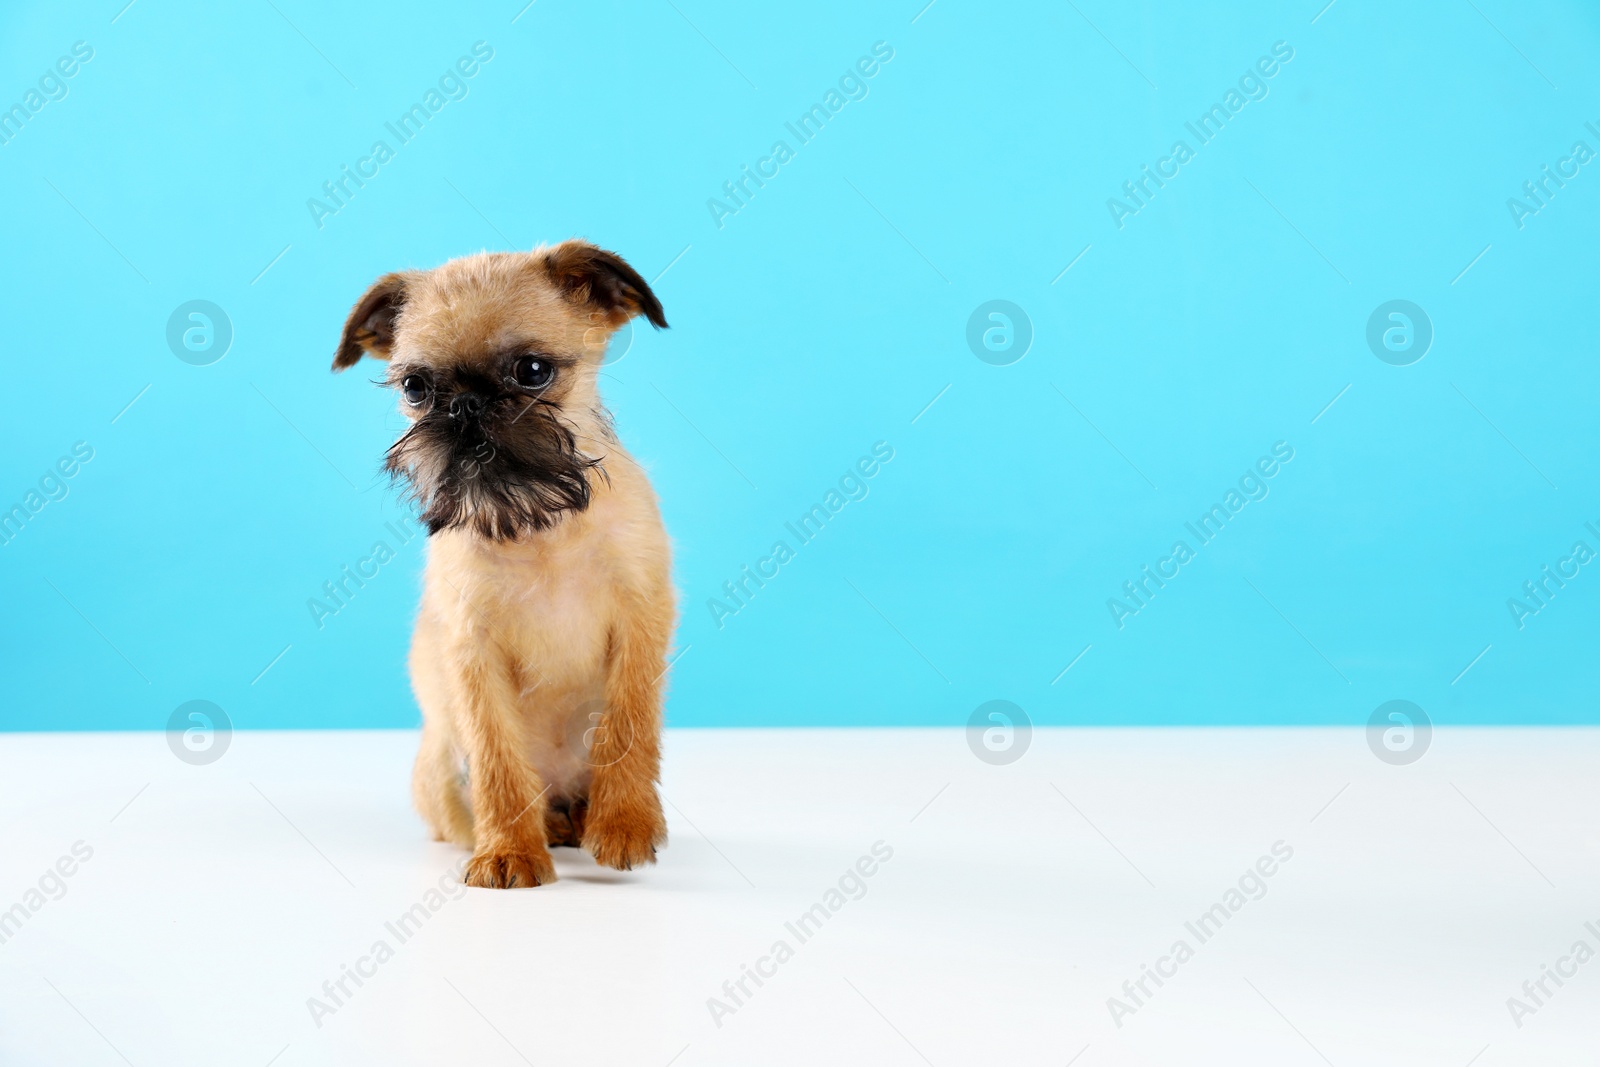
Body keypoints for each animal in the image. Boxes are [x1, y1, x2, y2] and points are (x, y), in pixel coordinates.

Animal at [331, 239, 675, 883]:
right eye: (416, 387)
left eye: (532, 372)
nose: (466, 405)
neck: (540, 525)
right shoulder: (472, 650)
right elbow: (497, 758)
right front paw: (509, 851)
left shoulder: (642, 620)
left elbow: (628, 727)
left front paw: (625, 825)